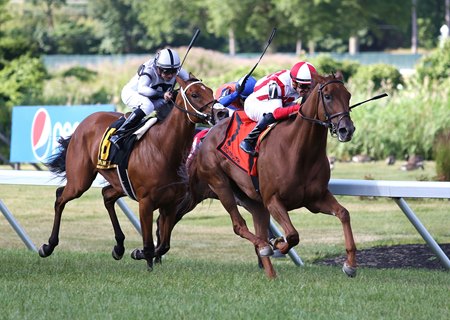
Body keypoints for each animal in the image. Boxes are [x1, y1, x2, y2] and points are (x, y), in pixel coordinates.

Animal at [40, 76, 227, 272]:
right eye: (194, 94)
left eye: (210, 91)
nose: (222, 113)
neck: (164, 148)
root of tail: (85, 122)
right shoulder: (146, 202)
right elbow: (149, 244)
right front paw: (144, 260)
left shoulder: (171, 202)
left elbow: (164, 244)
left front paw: (139, 254)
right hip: (79, 180)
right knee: (60, 197)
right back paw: (48, 246)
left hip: (119, 183)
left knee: (106, 195)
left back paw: (119, 247)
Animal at [169, 72, 356, 278]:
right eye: (328, 96)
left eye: (348, 95)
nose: (347, 129)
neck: (299, 150)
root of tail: (207, 134)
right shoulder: (273, 200)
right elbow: (292, 235)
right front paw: (278, 245)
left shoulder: (315, 199)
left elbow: (344, 214)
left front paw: (350, 265)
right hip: (220, 185)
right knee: (239, 225)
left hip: (254, 202)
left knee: (258, 229)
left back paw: (271, 273)